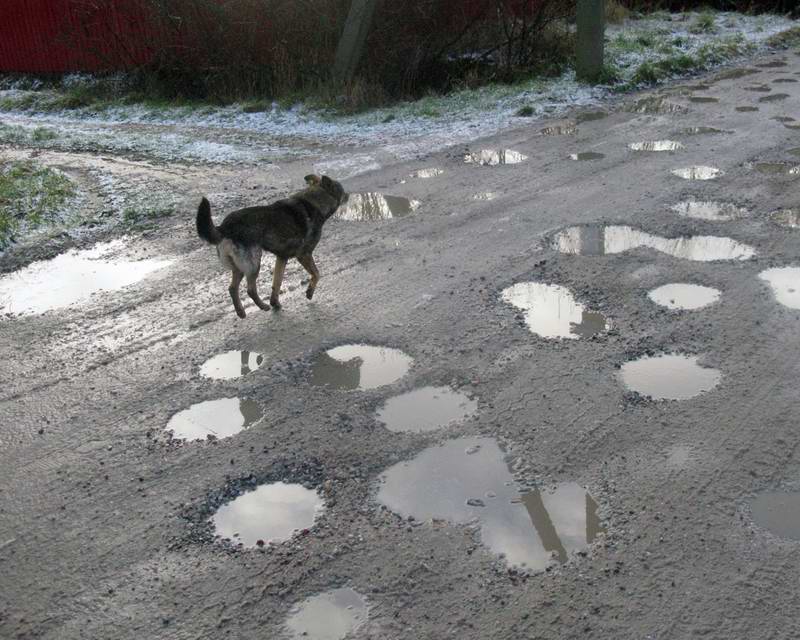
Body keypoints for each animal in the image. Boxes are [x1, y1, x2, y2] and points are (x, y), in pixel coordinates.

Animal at [196, 175, 346, 318]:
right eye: (342, 190)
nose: (348, 195)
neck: (313, 202)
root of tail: (224, 227)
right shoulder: (304, 255)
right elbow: (317, 274)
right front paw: (309, 292)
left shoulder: (282, 258)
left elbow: (277, 283)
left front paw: (275, 302)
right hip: (254, 263)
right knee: (250, 289)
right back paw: (263, 306)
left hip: (239, 267)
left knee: (232, 288)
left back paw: (241, 312)